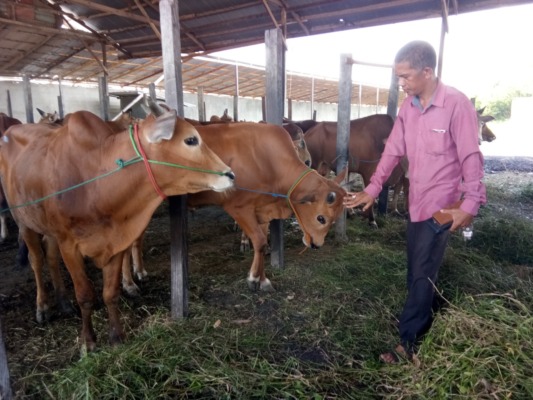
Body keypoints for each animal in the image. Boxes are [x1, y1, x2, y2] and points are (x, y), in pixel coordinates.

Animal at [0, 99, 234, 350]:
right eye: (191, 140)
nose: (230, 174)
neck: (97, 182)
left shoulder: (116, 243)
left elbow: (110, 293)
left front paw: (117, 337)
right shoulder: (69, 245)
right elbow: (85, 295)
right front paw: (88, 342)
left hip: (50, 230)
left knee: (51, 257)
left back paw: (63, 302)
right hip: (23, 220)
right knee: (36, 260)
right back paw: (42, 307)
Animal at [121, 122, 344, 294]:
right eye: (321, 218)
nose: (316, 244)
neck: (267, 160)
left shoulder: (262, 211)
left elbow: (263, 244)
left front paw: (263, 280)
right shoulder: (239, 207)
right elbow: (259, 241)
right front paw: (253, 278)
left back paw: (139, 272)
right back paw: (129, 283)